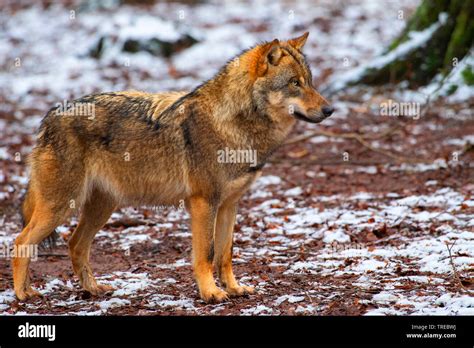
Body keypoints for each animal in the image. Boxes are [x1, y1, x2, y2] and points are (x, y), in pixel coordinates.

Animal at [13, 33, 334, 304]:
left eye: (310, 81)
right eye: (294, 83)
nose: (330, 110)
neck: (235, 125)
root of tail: (49, 116)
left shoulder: (229, 204)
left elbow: (226, 253)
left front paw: (233, 288)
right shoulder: (204, 203)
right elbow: (207, 254)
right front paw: (211, 293)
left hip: (101, 207)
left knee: (75, 244)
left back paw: (92, 289)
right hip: (61, 207)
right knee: (20, 241)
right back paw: (23, 294)